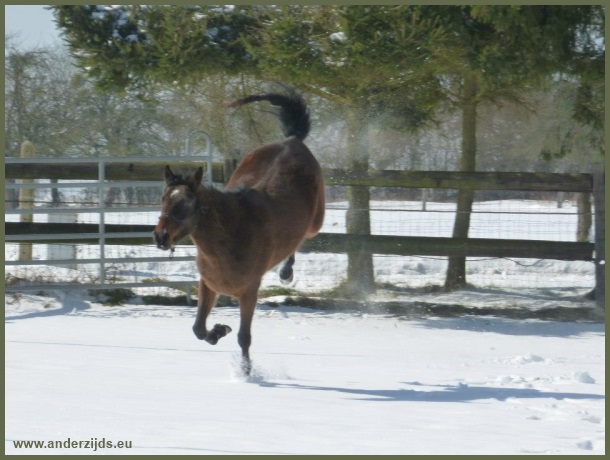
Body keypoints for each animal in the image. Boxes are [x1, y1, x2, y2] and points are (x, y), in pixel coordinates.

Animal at [152, 90, 324, 374]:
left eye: (185, 204)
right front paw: (219, 330)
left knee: (303, 239)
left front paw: (246, 371)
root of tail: (293, 140)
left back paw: (286, 273)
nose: (160, 237)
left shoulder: (249, 292)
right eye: (164, 199)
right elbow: (198, 329)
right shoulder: (208, 284)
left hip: (315, 222)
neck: (230, 237)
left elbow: (244, 337)